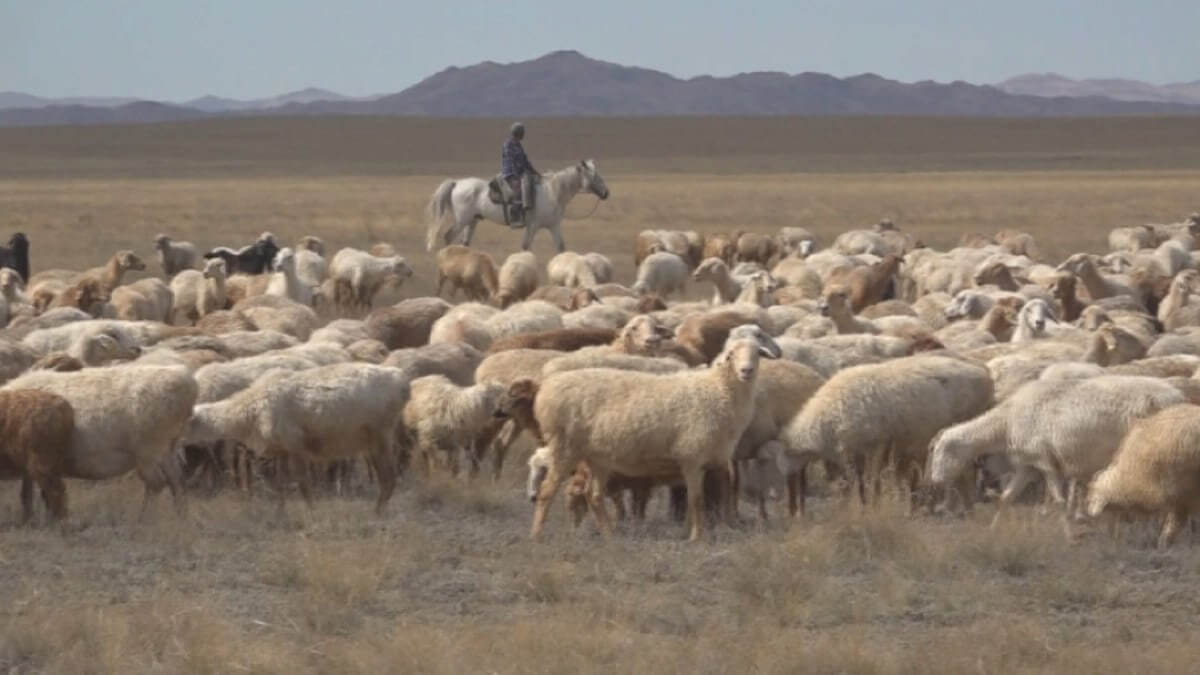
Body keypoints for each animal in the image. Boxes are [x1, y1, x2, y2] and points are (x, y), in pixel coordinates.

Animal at [0, 386, 73, 523]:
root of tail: (64, 407)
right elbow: (26, 496)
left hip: (42, 458)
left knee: (56, 492)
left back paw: (58, 524)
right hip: (49, 460)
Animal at [424, 158, 609, 252]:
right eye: (595, 176)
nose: (606, 193)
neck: (553, 192)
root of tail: (456, 183)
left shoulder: (553, 226)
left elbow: (561, 248)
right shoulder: (533, 226)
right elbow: (525, 247)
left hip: (472, 221)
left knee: (464, 243)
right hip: (462, 220)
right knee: (448, 236)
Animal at [530, 329, 782, 538]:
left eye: (757, 354)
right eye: (731, 354)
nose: (746, 371)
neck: (719, 390)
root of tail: (546, 390)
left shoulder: (714, 459)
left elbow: (699, 498)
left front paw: (689, 533)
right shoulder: (691, 457)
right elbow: (696, 500)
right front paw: (697, 537)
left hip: (597, 457)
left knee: (594, 495)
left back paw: (610, 536)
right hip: (564, 447)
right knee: (547, 491)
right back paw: (537, 536)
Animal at [926, 372, 1180, 526]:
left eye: (939, 451)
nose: (934, 481)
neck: (1006, 422)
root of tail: (1176, 396)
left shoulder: (1046, 462)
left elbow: (1058, 502)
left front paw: (1068, 537)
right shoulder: (1029, 465)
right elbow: (1006, 498)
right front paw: (993, 528)